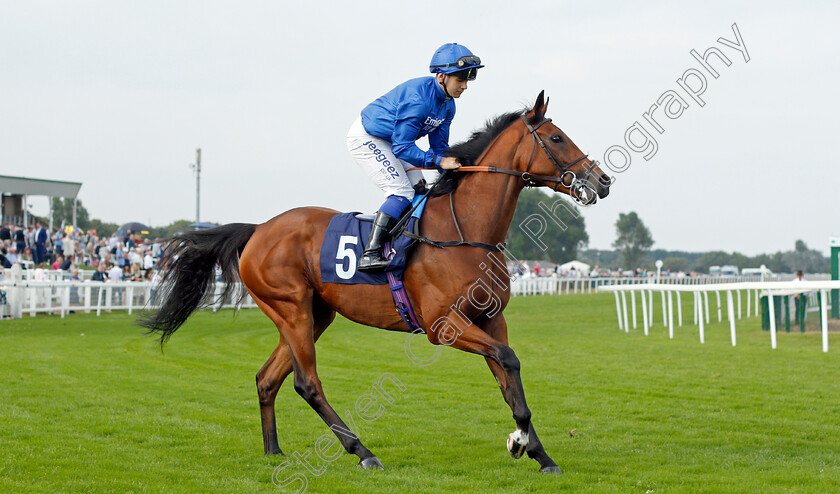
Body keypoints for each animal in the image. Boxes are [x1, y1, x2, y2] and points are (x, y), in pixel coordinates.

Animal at [139, 92, 612, 474]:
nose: (602, 180)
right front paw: (523, 443)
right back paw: (361, 451)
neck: (464, 231)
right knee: (306, 382)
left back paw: (273, 450)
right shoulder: (444, 326)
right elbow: (509, 363)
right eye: (556, 138)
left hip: (315, 314)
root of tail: (258, 229)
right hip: (290, 309)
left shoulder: (491, 319)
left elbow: (508, 376)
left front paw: (533, 449)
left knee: (267, 378)